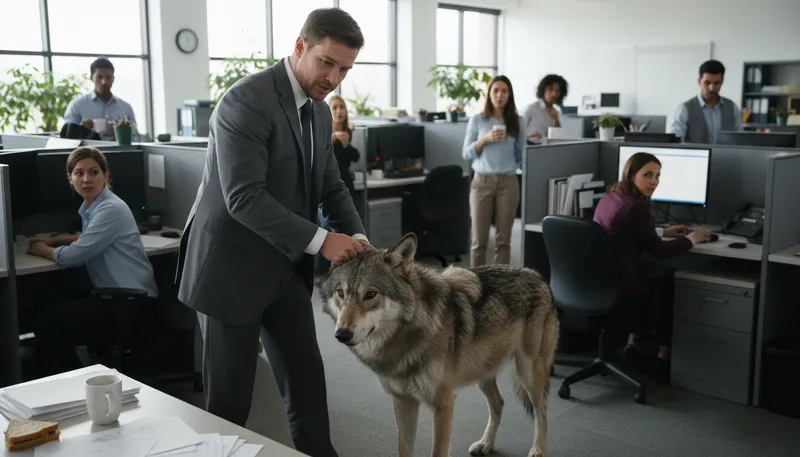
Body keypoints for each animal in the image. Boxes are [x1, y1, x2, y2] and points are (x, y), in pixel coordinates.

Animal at [319, 233, 559, 457]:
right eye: (340, 293)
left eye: (370, 294)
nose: (342, 334)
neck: (408, 337)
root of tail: (537, 275)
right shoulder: (403, 402)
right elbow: (404, 450)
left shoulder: (443, 405)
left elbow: (438, 451)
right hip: (482, 373)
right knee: (499, 403)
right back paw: (486, 444)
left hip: (528, 374)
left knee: (542, 410)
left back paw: (538, 449)